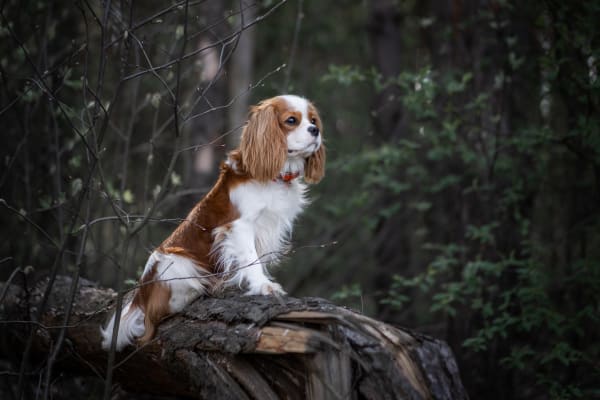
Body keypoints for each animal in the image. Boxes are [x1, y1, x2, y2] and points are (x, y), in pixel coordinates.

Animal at [101, 94, 326, 350]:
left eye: (313, 119)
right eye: (291, 120)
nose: (315, 130)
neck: (276, 177)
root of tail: (140, 296)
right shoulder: (239, 227)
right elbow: (252, 260)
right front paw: (263, 286)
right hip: (175, 261)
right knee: (152, 319)